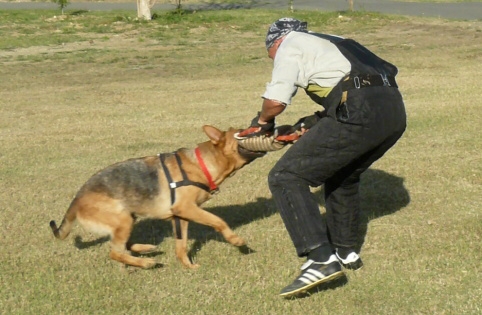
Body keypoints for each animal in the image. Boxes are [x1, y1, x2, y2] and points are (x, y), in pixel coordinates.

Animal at [50, 125, 266, 270]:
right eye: (242, 132)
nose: (264, 128)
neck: (202, 163)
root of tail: (76, 199)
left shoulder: (181, 217)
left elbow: (181, 246)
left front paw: (188, 266)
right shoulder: (187, 209)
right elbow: (218, 220)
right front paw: (235, 240)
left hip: (128, 218)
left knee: (123, 245)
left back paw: (145, 249)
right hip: (122, 219)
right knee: (115, 252)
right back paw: (145, 262)